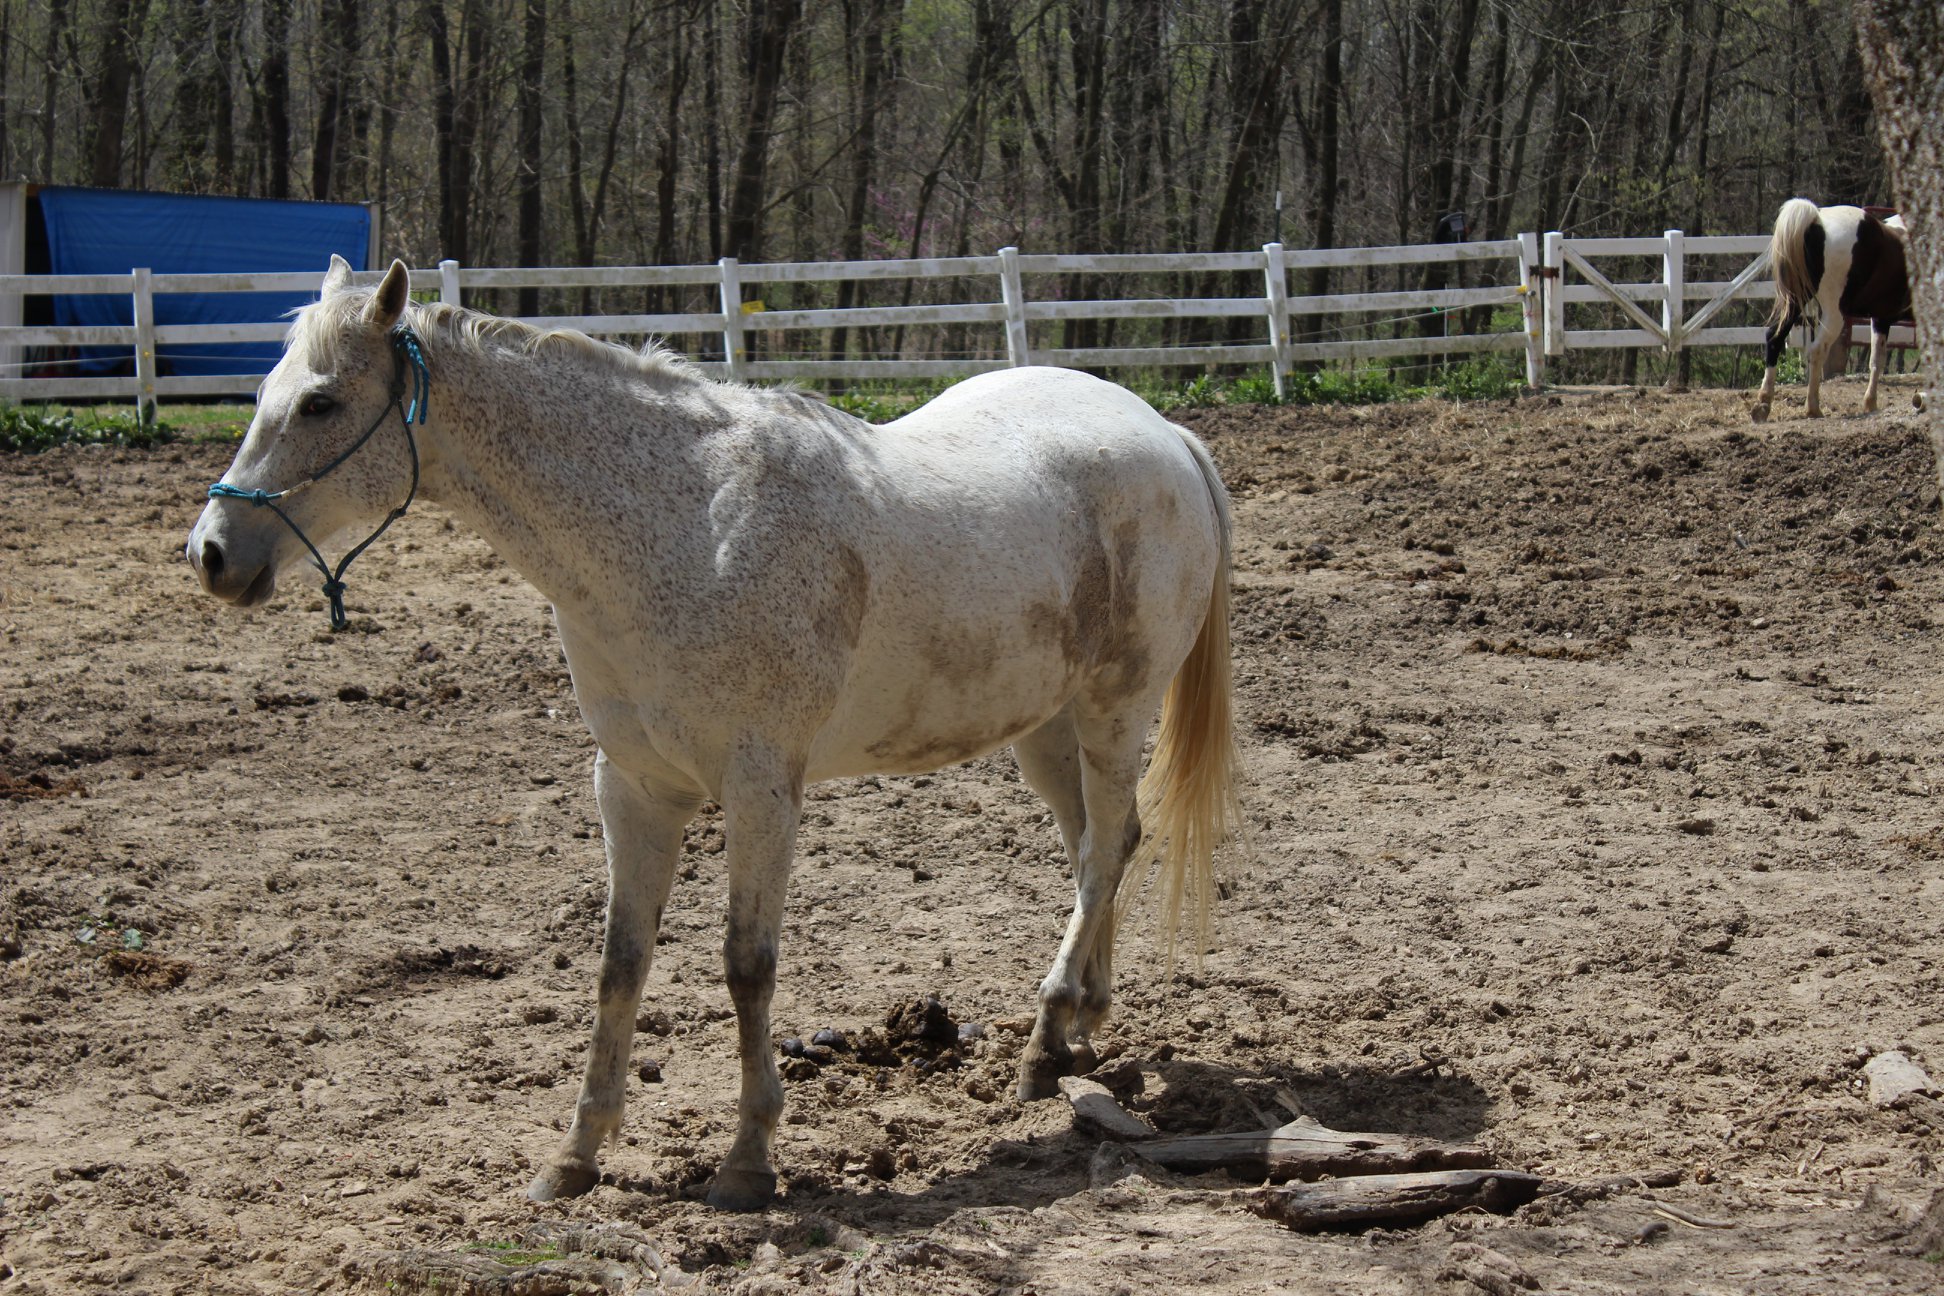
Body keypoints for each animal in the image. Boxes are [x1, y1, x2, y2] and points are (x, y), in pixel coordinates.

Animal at [184, 256, 1241, 1211]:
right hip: (1043, 725)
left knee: (1105, 849)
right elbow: (620, 964)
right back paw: (1079, 1027)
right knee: (1098, 845)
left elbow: (746, 967)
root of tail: (1163, 433)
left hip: (1113, 707)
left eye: (319, 404)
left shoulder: (762, 787)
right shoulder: (634, 787)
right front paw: (575, 1155)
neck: (687, 526)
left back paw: (1045, 1036)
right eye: (264, 396)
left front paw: (748, 1160)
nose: (211, 555)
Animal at [1751, 198, 1912, 422]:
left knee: (1774, 337)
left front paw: (1870, 403)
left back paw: (1763, 404)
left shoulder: (1881, 318)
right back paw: (1813, 408)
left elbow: (1876, 360)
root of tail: (1816, 221)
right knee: (1816, 350)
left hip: (1795, 303)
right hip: (1833, 315)